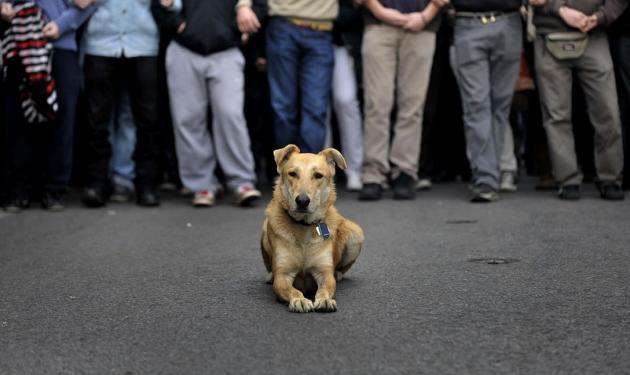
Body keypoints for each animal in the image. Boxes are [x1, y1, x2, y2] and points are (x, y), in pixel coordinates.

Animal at [262, 145, 366, 312]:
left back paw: (338, 274)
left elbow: (325, 288)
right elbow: (292, 290)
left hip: (356, 233)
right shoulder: (283, 275)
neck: (304, 226)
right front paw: (300, 300)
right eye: (292, 174)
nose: (302, 201)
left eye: (318, 175)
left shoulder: (324, 273)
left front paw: (324, 300)